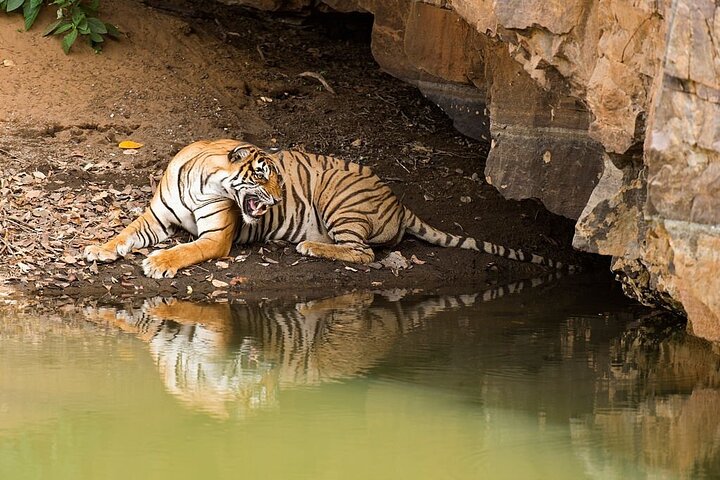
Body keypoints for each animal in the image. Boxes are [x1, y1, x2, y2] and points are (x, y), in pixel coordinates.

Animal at [83, 139, 578, 278]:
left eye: (278, 178)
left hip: (341, 202)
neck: (204, 184)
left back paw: (312, 248)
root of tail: (400, 202)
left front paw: (160, 262)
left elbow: (187, 249)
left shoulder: (216, 237)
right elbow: (126, 231)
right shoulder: (155, 216)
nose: (279, 197)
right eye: (264, 175)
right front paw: (99, 248)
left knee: (364, 253)